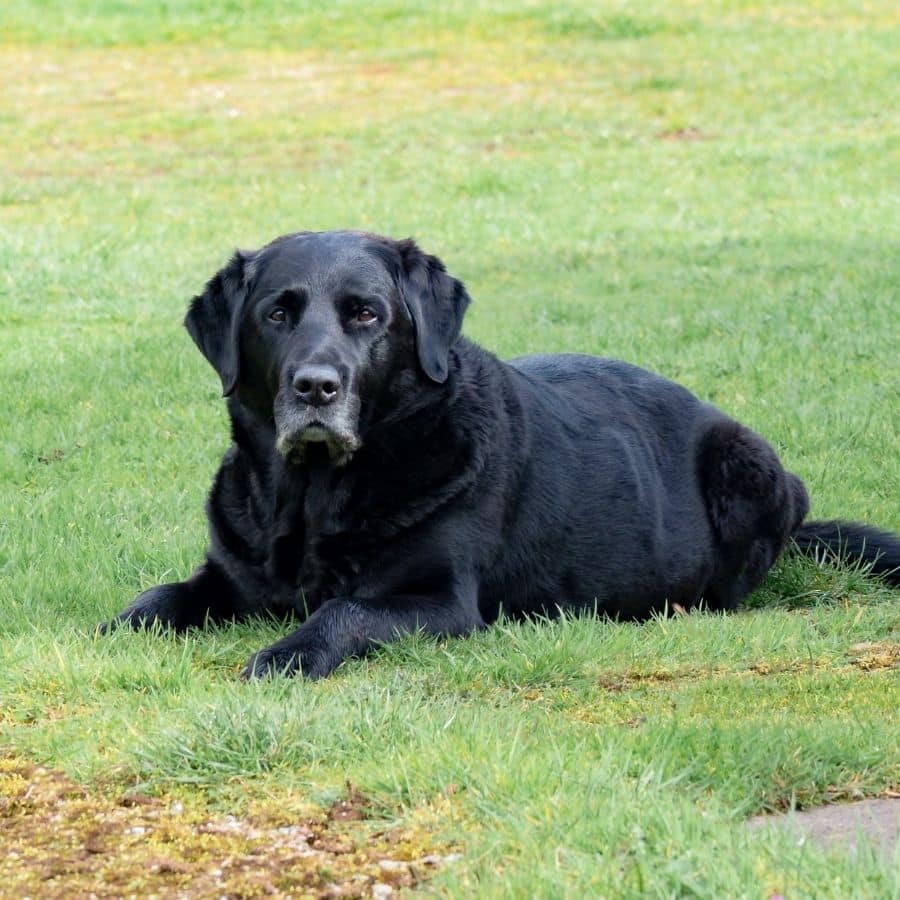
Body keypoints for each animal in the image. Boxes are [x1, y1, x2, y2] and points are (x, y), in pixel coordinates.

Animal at [105, 229, 900, 680]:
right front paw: (117, 626)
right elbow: (157, 599)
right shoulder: (228, 574)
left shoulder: (438, 601)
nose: (316, 387)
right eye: (277, 313)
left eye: (366, 314)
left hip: (751, 466)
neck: (311, 499)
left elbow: (344, 613)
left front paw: (287, 654)